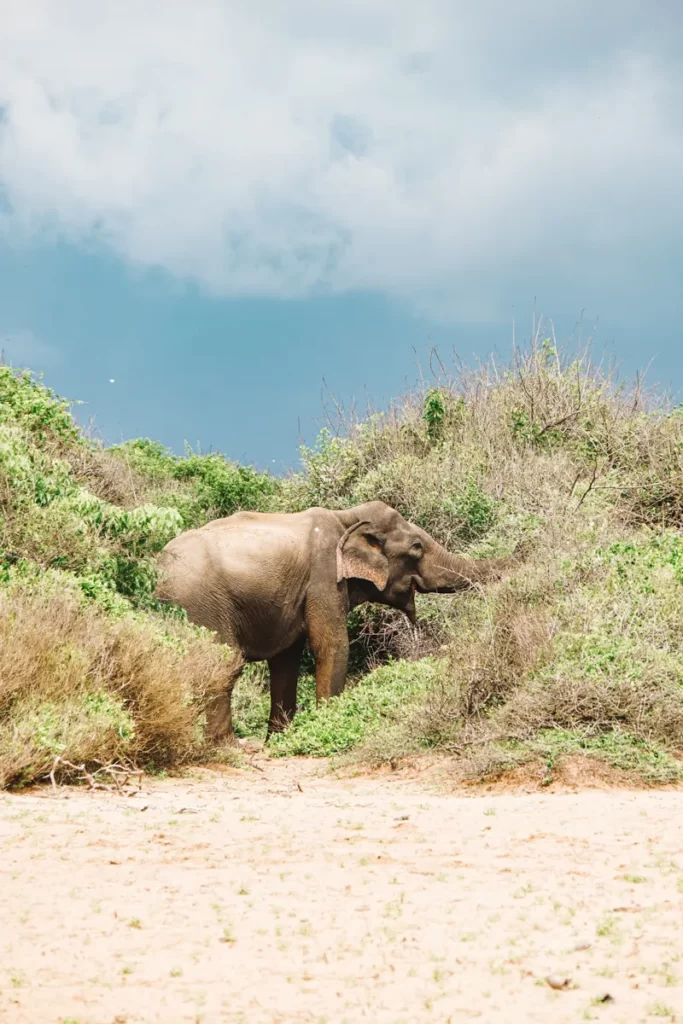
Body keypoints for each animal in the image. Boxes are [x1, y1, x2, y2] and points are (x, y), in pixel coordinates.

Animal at [156, 497, 518, 745]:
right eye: (416, 547)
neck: (348, 516)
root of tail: (158, 569)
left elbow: (286, 660)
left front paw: (281, 743)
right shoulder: (325, 577)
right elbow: (331, 645)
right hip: (202, 603)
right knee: (222, 666)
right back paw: (227, 748)